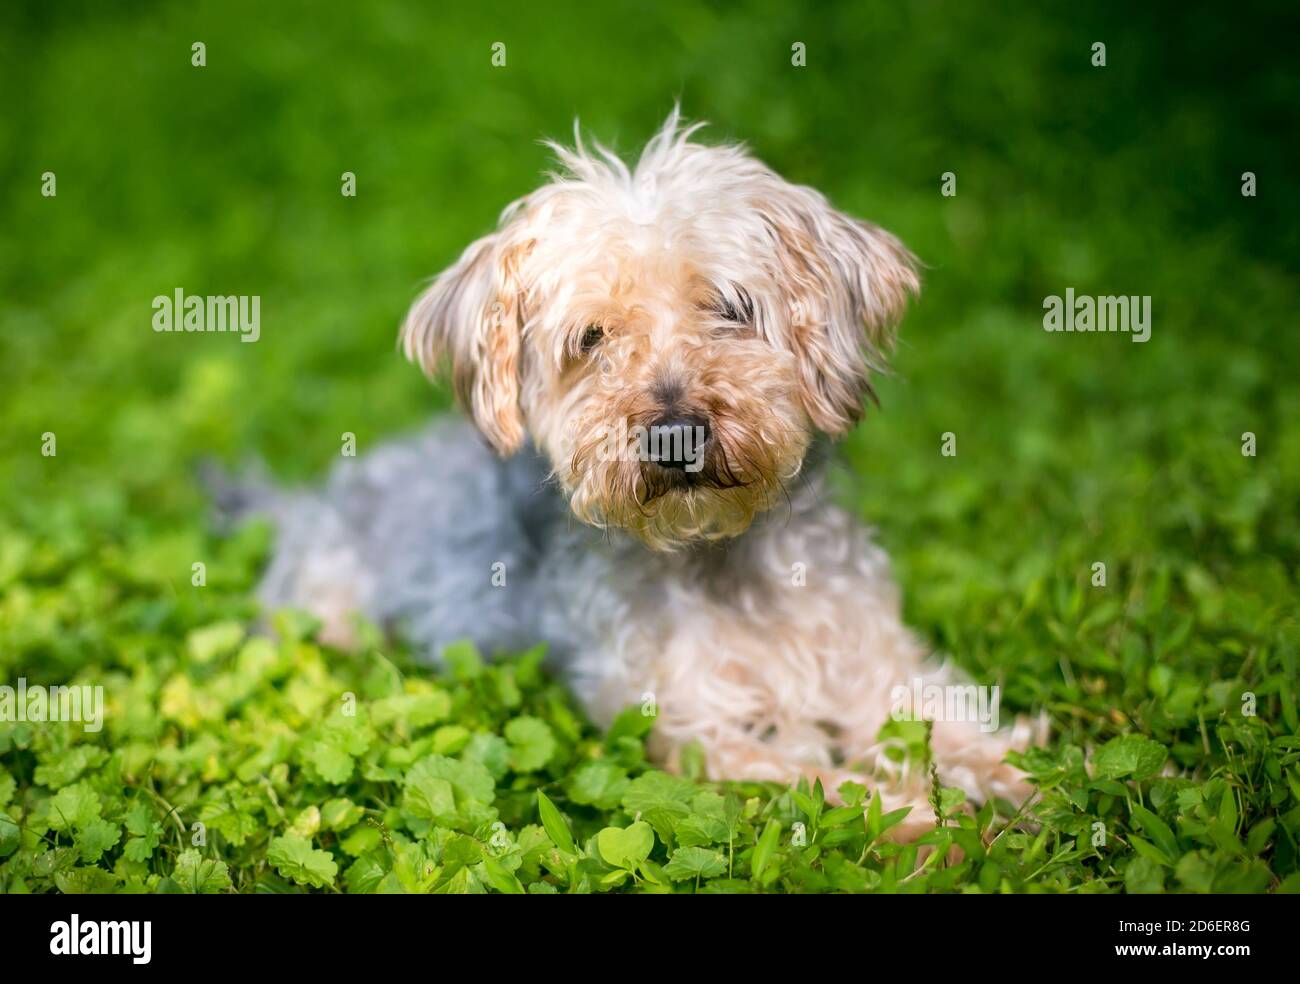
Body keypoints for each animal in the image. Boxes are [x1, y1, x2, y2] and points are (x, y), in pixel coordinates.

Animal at [233, 111, 1040, 831]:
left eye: (729, 307)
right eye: (592, 337)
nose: (674, 434)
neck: (719, 556)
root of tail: (304, 500)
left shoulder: (875, 663)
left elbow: (946, 723)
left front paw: (1022, 784)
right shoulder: (690, 733)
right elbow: (815, 779)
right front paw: (920, 817)